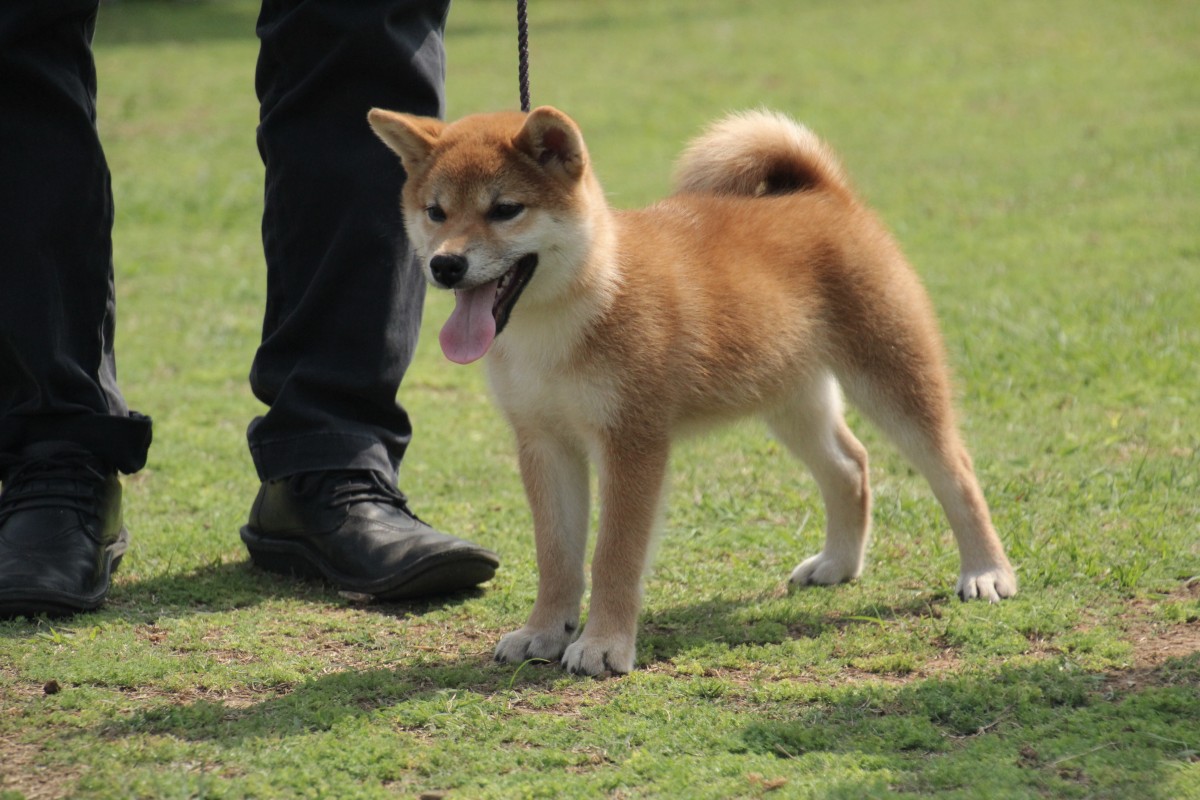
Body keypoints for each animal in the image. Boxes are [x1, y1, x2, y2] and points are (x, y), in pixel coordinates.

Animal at [369, 104, 1017, 676]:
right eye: (435, 212)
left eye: (505, 209)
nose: (446, 265)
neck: (570, 312)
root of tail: (825, 196)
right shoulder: (543, 443)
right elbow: (556, 556)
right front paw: (543, 632)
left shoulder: (632, 443)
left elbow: (613, 556)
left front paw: (603, 646)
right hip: (789, 398)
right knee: (850, 465)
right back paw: (838, 563)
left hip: (893, 378)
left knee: (954, 470)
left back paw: (986, 572)